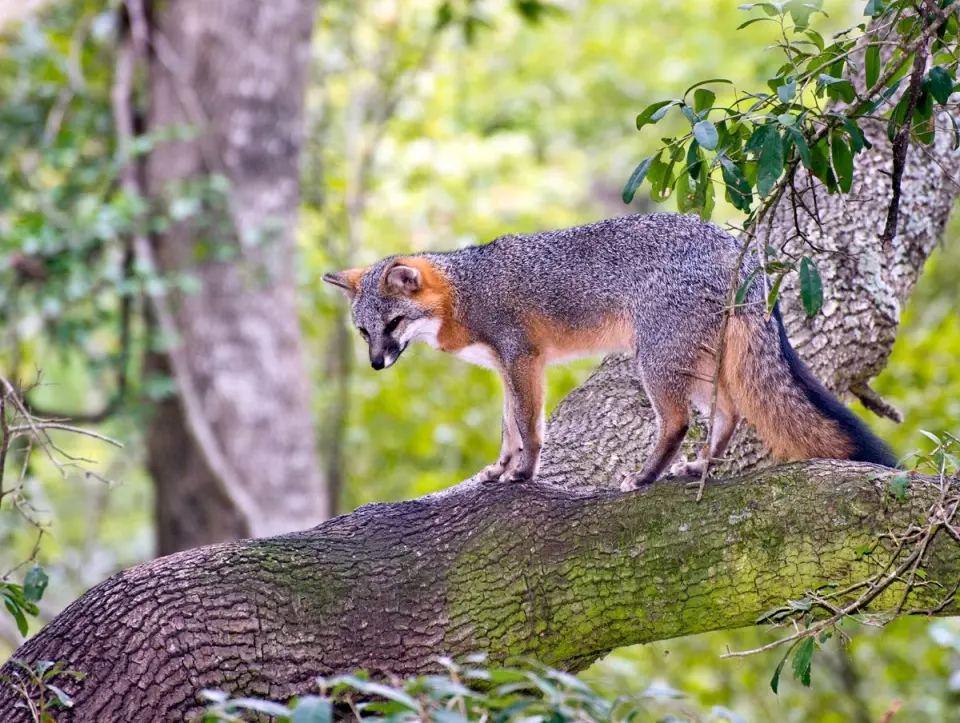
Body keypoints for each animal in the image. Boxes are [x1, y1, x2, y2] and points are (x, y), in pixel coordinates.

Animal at [323, 213, 897, 490]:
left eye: (393, 324)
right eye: (364, 332)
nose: (376, 363)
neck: (467, 290)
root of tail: (740, 249)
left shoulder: (523, 358)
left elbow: (528, 426)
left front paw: (524, 474)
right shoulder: (505, 368)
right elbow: (508, 427)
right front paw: (500, 468)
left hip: (654, 362)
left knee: (679, 422)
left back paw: (647, 476)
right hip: (698, 367)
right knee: (729, 416)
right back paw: (699, 467)